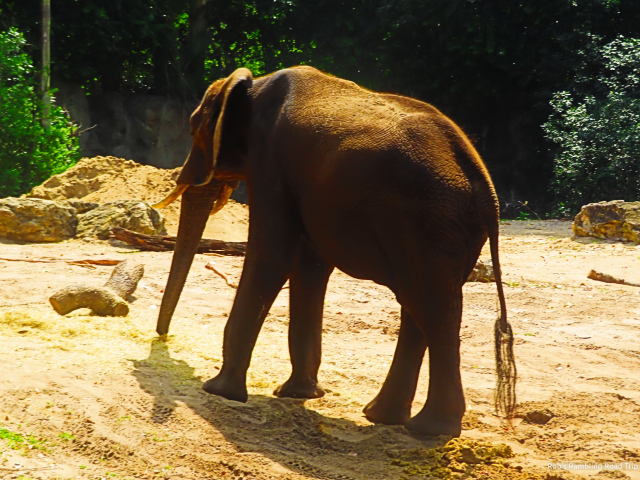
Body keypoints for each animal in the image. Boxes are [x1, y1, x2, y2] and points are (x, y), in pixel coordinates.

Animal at [154, 66, 516, 437]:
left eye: (193, 128)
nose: (163, 336)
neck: (253, 84)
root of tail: (484, 184)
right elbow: (309, 266)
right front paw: (297, 394)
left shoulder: (271, 164)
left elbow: (272, 254)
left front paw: (219, 391)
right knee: (422, 307)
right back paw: (384, 417)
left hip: (427, 223)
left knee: (432, 308)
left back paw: (429, 429)